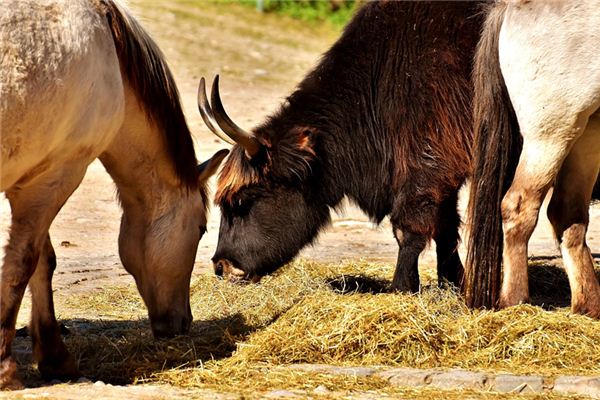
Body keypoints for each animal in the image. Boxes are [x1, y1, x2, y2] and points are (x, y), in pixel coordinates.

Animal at [0, 0, 227, 390]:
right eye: (201, 229)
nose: (183, 323)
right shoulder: (58, 173)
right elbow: (25, 262)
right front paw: (7, 368)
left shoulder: (43, 175)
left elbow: (42, 261)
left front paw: (54, 356)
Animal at [464, 0, 600, 316]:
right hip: (551, 134)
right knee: (519, 206)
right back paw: (514, 301)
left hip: (587, 132)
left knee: (568, 214)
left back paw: (589, 306)